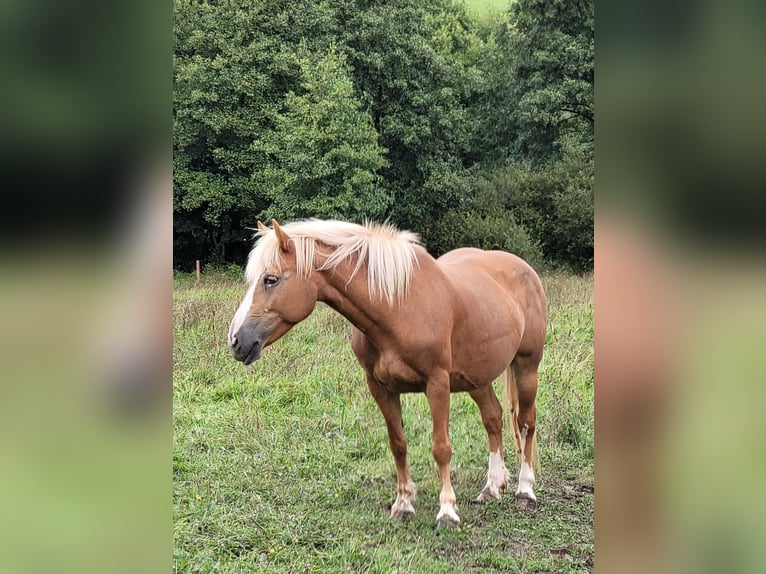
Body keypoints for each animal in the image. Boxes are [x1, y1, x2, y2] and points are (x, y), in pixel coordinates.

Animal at [228, 220, 544, 532]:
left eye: (270, 279)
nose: (236, 340)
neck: (397, 307)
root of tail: (522, 267)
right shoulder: (381, 388)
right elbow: (398, 444)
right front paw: (403, 504)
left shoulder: (437, 385)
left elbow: (441, 448)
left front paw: (447, 511)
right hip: (477, 377)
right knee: (493, 418)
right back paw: (492, 487)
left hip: (526, 366)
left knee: (526, 423)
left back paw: (525, 490)